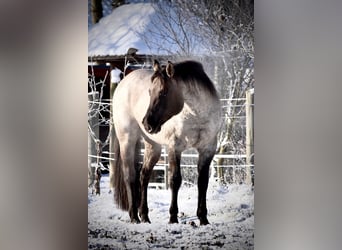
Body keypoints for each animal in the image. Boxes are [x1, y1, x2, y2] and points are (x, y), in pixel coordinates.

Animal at [111, 60, 220, 225]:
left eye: (163, 92)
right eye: (150, 92)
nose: (147, 123)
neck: (197, 115)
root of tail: (123, 82)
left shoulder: (207, 149)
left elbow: (202, 182)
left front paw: (203, 219)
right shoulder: (175, 148)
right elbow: (175, 180)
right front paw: (173, 218)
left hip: (153, 146)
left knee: (144, 176)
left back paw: (145, 216)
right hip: (127, 140)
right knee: (130, 176)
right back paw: (134, 217)